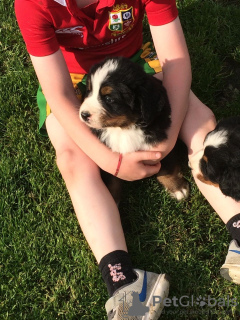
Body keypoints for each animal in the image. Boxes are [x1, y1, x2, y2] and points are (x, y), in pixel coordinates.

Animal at [79, 57, 188, 202]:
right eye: (89, 91)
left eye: (108, 98)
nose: (84, 115)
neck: (125, 128)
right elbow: (112, 180)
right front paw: (112, 199)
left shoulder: (163, 143)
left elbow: (167, 167)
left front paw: (177, 188)